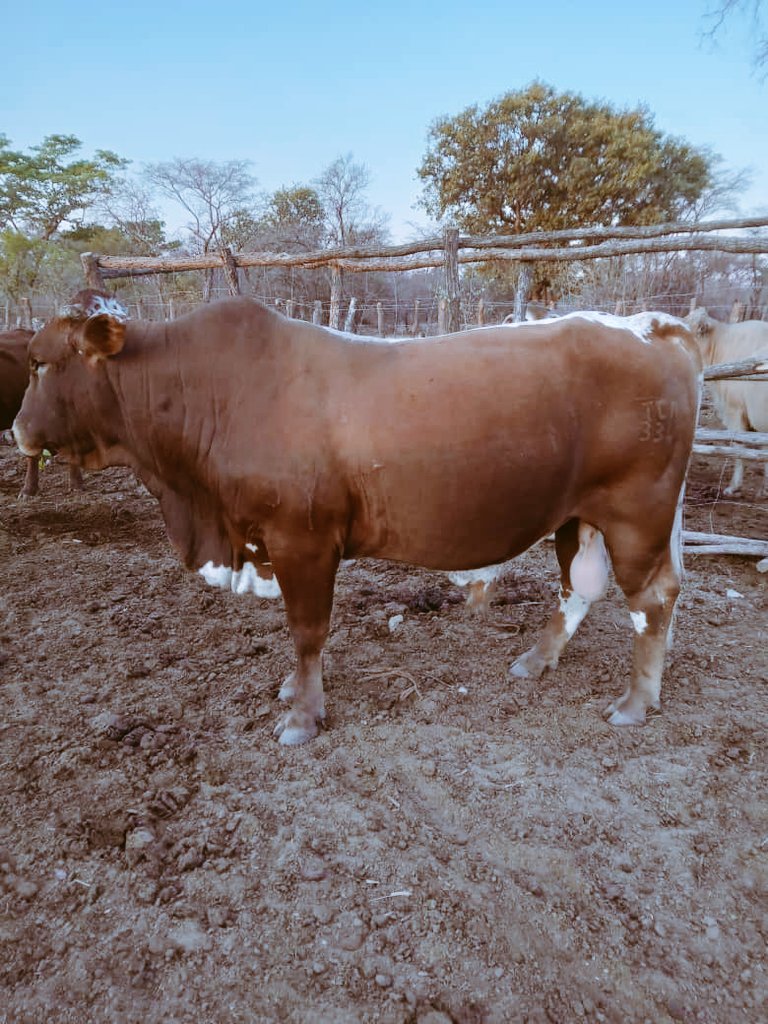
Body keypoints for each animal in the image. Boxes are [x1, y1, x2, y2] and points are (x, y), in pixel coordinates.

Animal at [14, 292, 702, 745]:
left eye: (41, 362)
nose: (18, 429)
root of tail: (649, 323)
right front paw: (293, 691)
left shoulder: (302, 539)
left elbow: (307, 631)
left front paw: (301, 715)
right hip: (576, 513)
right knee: (580, 586)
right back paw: (537, 660)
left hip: (636, 510)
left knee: (652, 598)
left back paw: (635, 701)